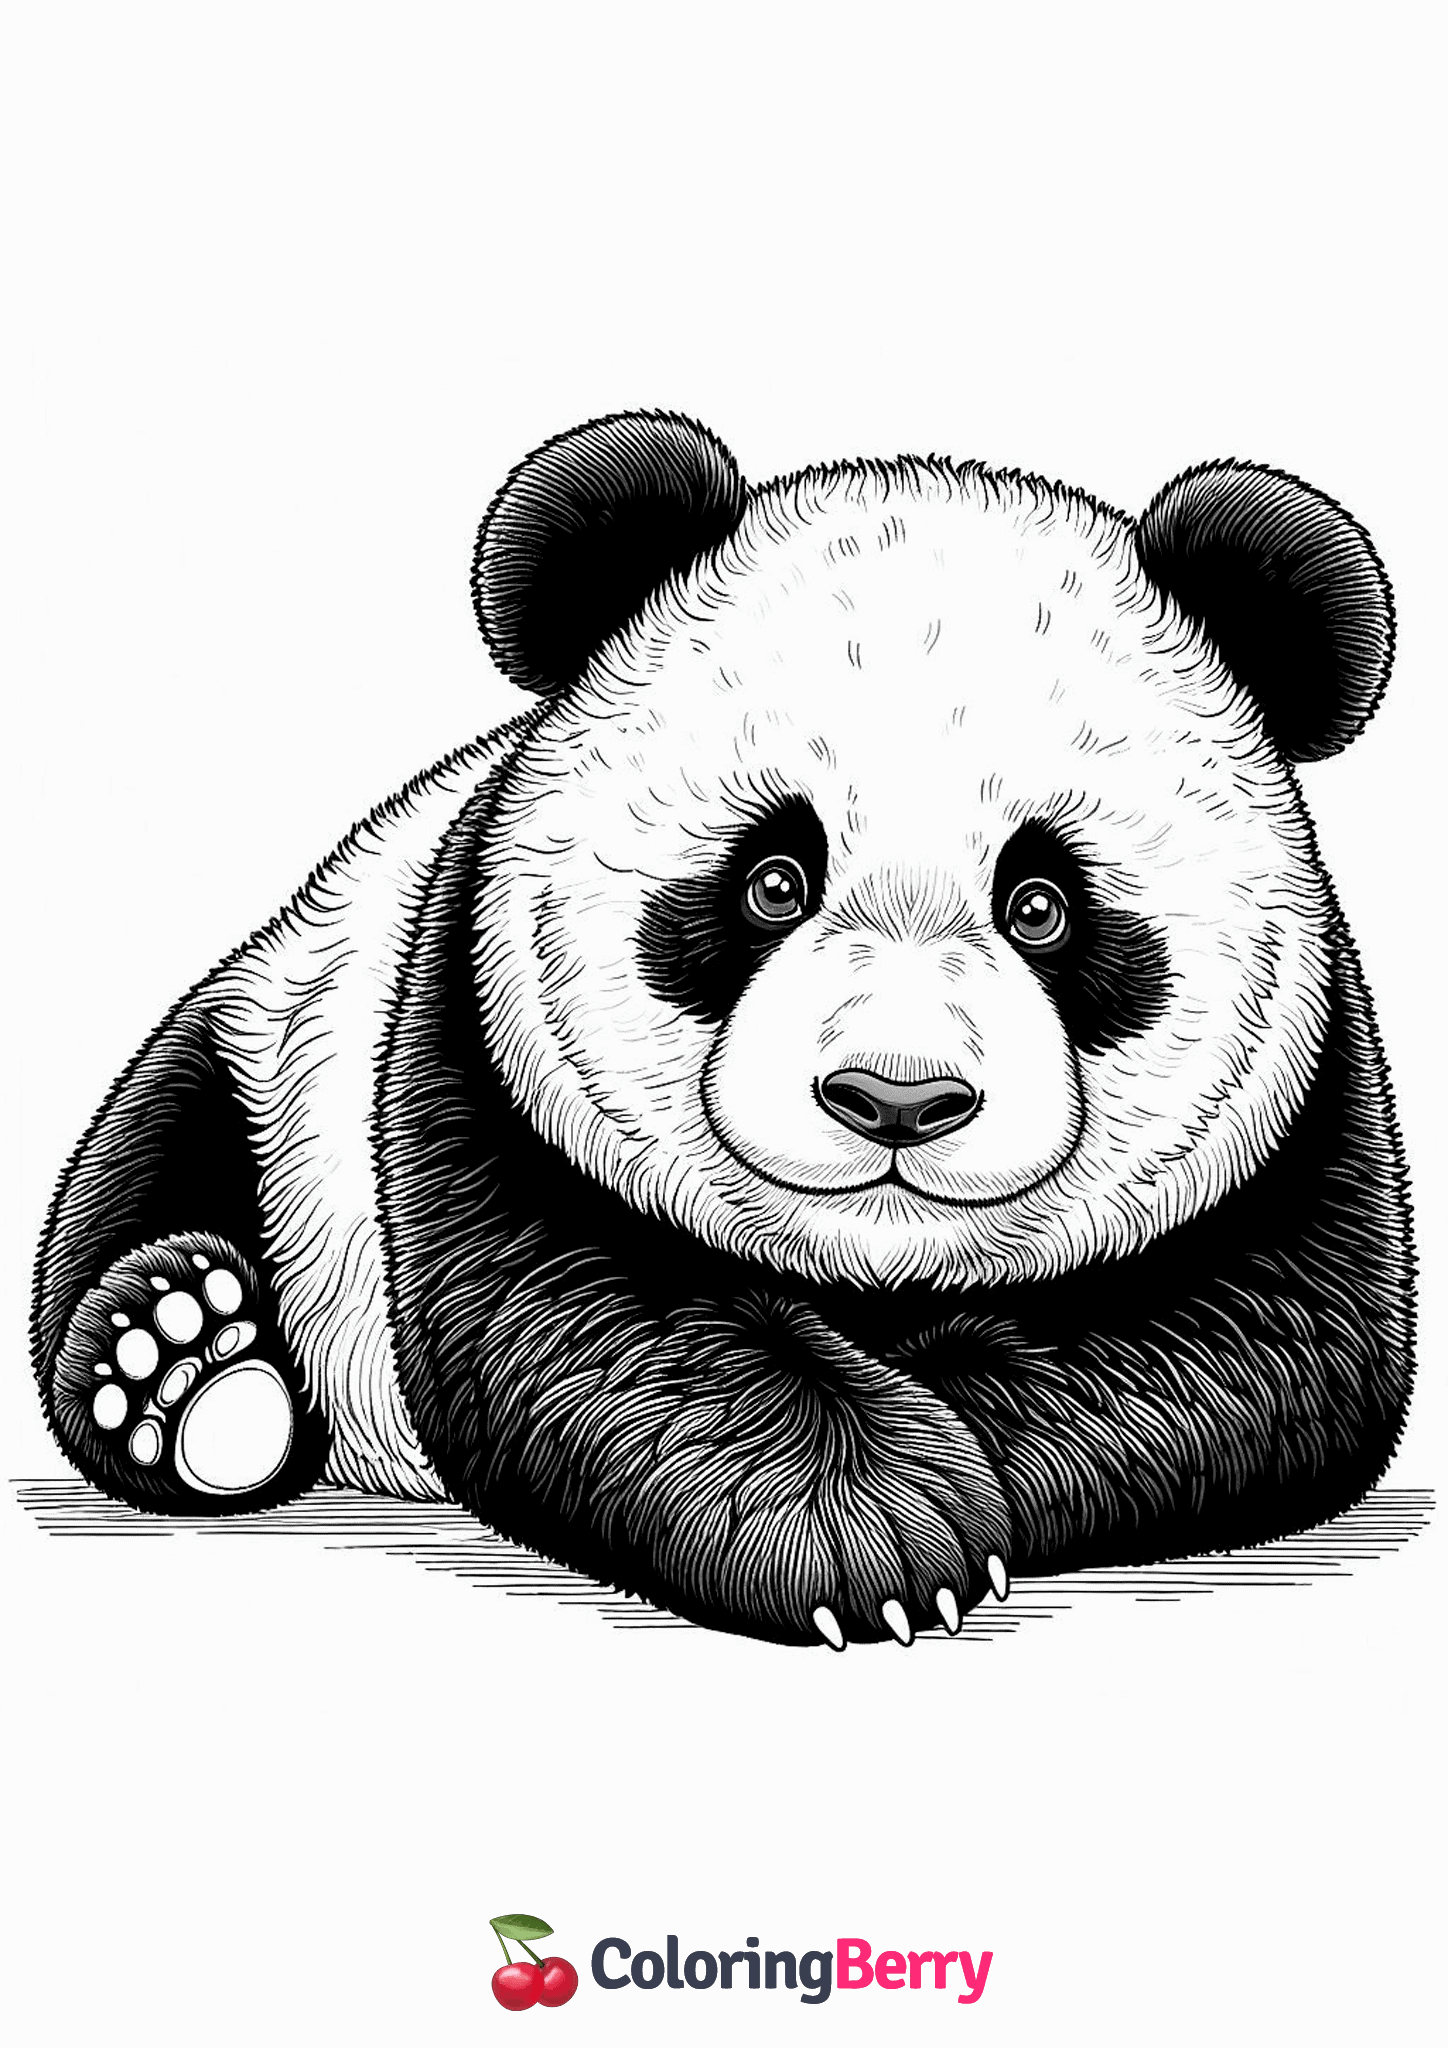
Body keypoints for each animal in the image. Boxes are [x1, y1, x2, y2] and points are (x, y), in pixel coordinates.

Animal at [32, 410, 1414, 1647]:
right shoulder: (474, 1043)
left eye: (1042, 906)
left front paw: (954, 1449)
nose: (896, 1098)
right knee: (158, 1158)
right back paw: (184, 1356)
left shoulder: (1301, 1097)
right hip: (288, 1051)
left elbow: (1253, 1347)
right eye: (771, 880)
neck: (872, 1263)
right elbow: (587, 1332)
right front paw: (868, 1534)